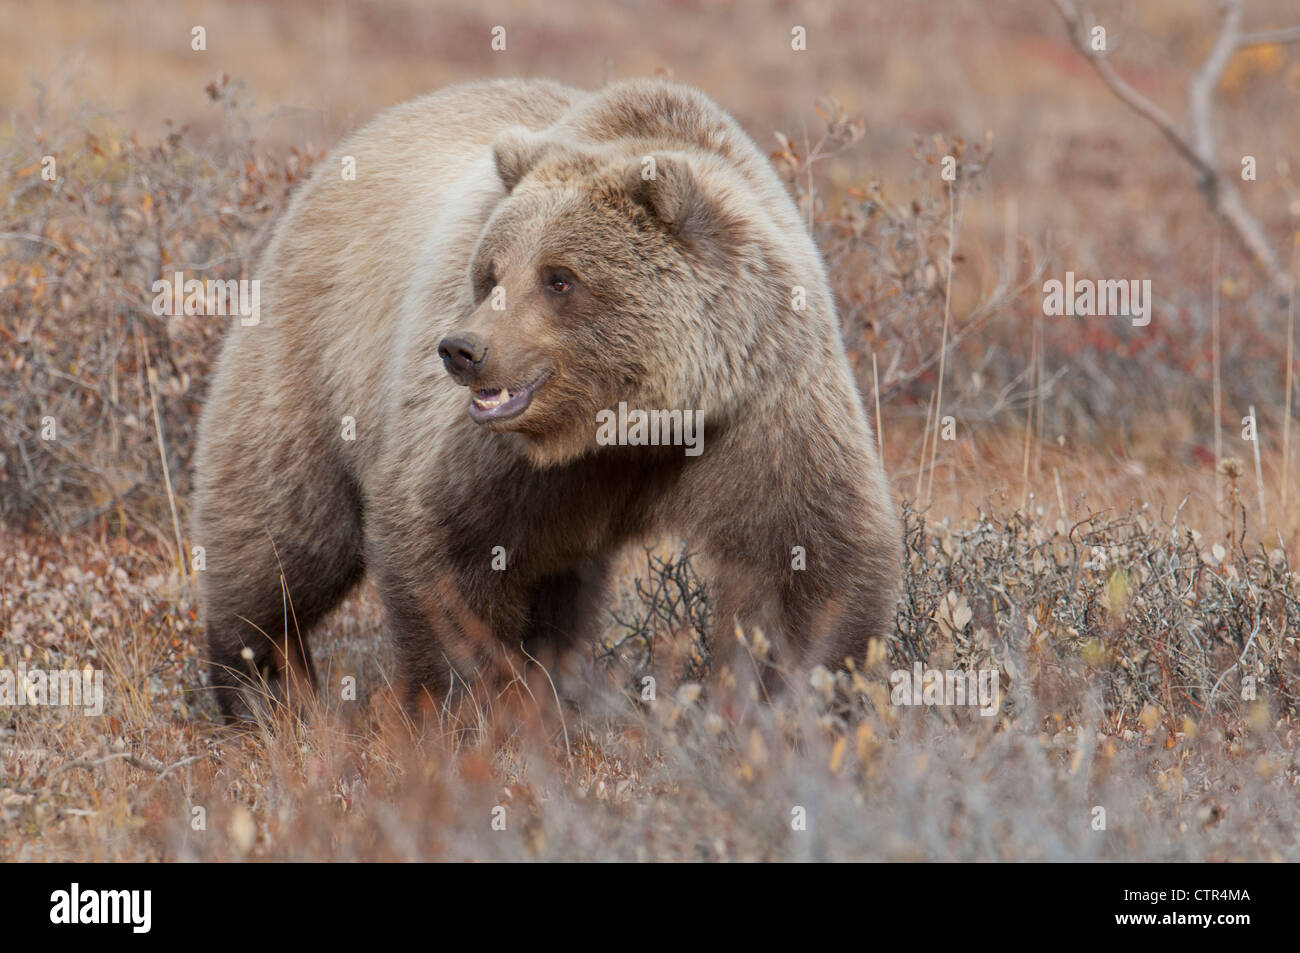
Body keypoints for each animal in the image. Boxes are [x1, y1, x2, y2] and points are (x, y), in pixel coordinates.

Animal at [192, 79, 899, 722]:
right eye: (491, 273)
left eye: (559, 278)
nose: (463, 350)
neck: (630, 425)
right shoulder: (488, 453)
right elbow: (443, 544)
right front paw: (465, 708)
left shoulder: (761, 405)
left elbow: (804, 557)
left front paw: (795, 702)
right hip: (313, 357)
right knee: (287, 530)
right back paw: (262, 689)